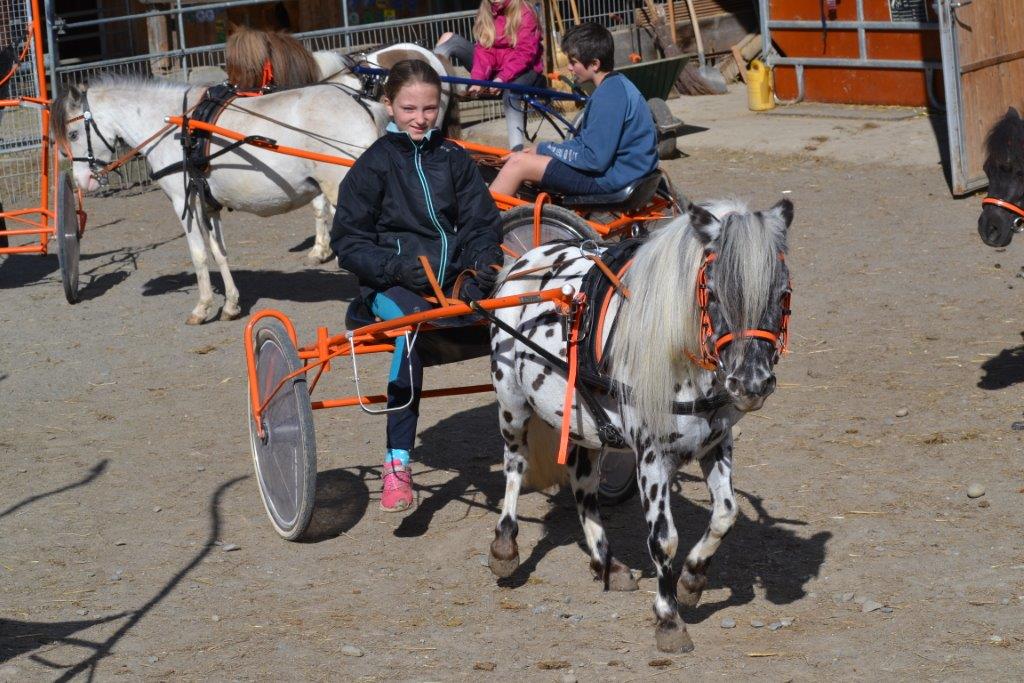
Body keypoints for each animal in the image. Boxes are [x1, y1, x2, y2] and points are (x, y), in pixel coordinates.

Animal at [52, 75, 380, 323]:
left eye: (73, 133)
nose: (82, 181)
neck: (176, 128)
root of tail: (360, 102)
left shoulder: (184, 203)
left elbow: (199, 255)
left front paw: (202, 307)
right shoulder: (207, 204)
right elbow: (219, 252)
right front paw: (231, 305)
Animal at [486, 198, 793, 653]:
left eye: (782, 293)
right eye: (713, 292)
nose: (751, 383)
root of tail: (525, 259)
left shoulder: (716, 443)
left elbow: (727, 513)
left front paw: (692, 581)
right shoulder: (652, 457)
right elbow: (664, 538)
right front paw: (669, 618)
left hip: (584, 424)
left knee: (582, 485)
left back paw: (606, 563)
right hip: (511, 402)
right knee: (514, 465)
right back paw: (505, 548)